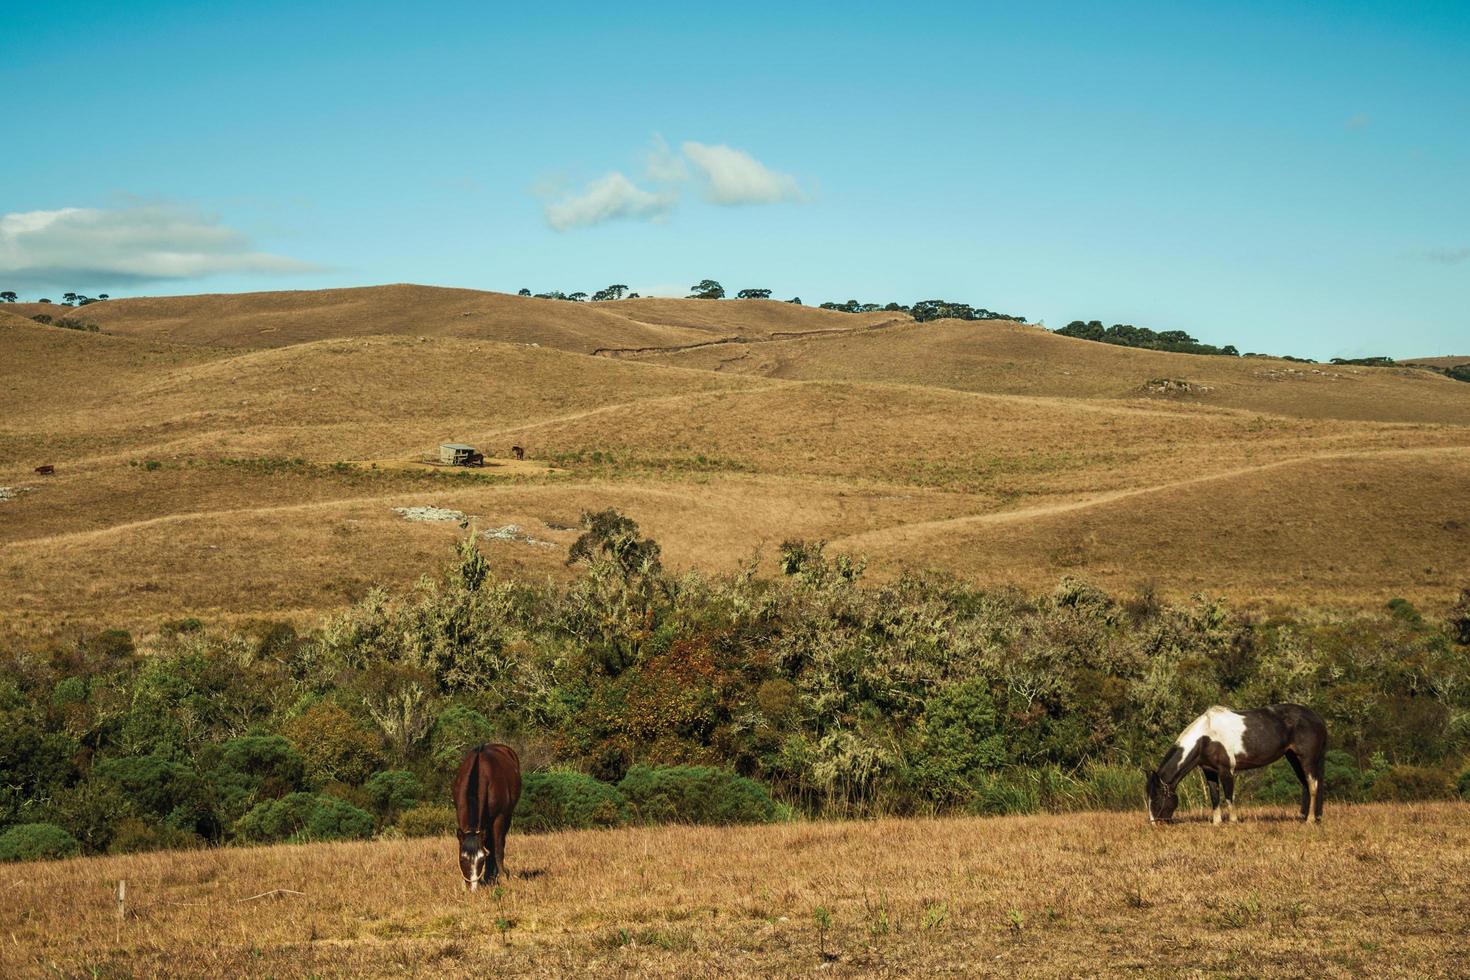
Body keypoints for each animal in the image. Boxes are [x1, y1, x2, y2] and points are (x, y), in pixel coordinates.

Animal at [452, 746, 523, 893]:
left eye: (481, 860)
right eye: (462, 860)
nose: (472, 889)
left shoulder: (499, 817)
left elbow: (497, 848)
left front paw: (501, 877)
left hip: (506, 817)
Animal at [1146, 705, 1334, 828]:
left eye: (1156, 798)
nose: (1155, 825)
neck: (1206, 737)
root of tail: (1317, 718)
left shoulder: (1226, 770)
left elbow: (1229, 796)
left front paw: (1233, 821)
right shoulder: (1210, 772)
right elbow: (1215, 797)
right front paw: (1216, 823)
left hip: (1307, 759)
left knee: (1313, 786)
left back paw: (1310, 820)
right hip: (1293, 758)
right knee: (1306, 785)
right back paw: (1304, 817)